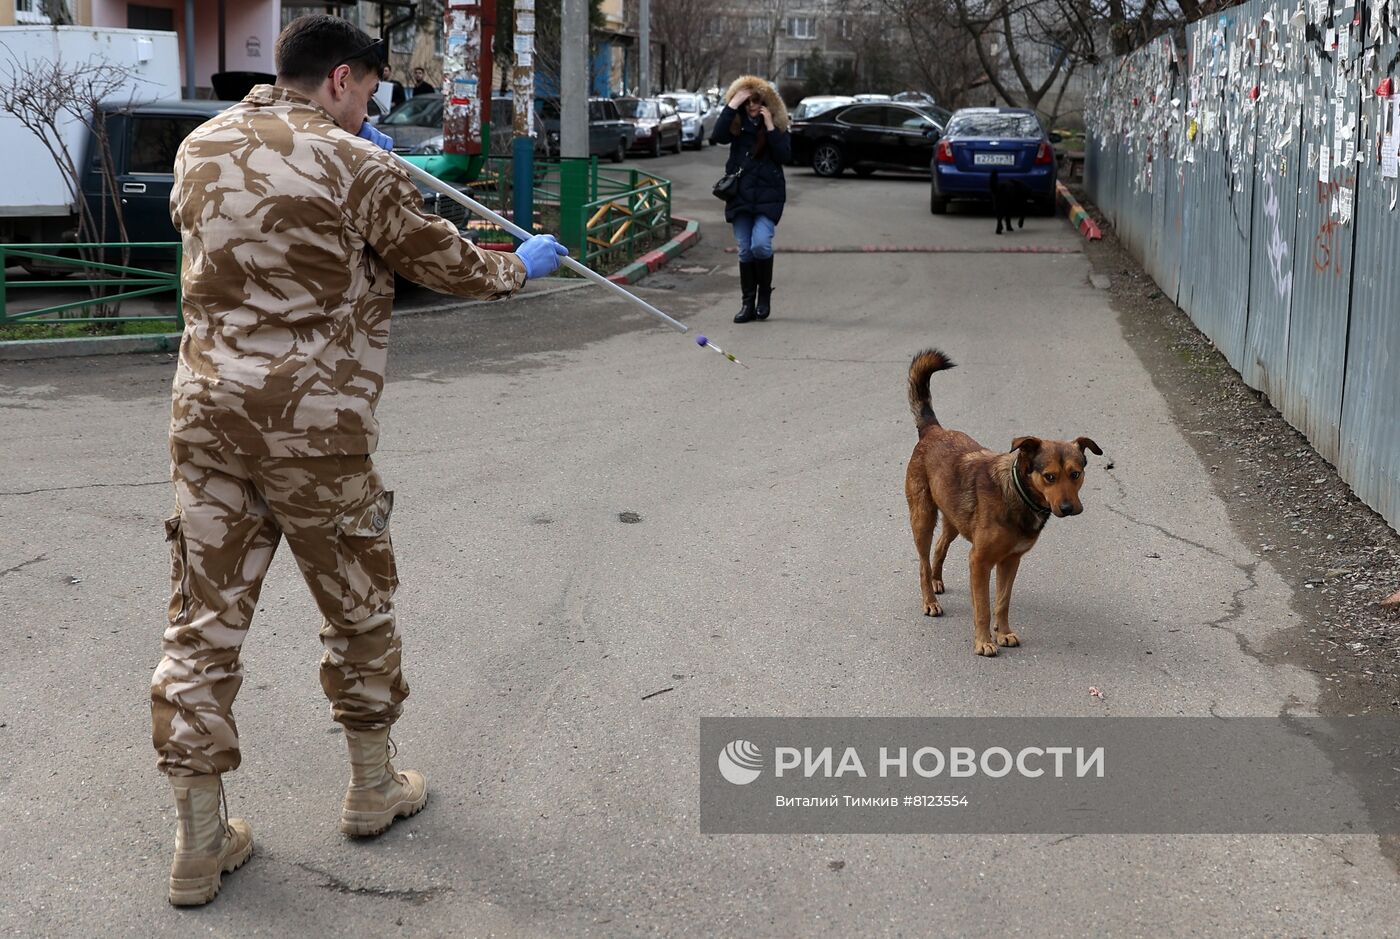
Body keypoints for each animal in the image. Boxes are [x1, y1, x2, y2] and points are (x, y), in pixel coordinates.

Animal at [907, 348, 1103, 657]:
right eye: (1049, 477)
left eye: (1075, 474)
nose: (1069, 509)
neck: (1018, 495)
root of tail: (933, 430)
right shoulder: (979, 561)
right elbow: (984, 607)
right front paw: (984, 641)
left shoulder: (1010, 561)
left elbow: (1002, 602)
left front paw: (1004, 632)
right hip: (922, 517)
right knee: (923, 562)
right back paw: (929, 600)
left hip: (953, 519)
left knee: (939, 548)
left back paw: (938, 581)